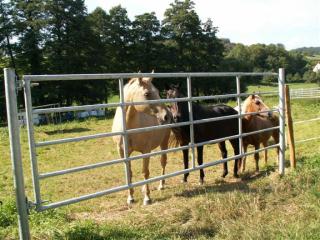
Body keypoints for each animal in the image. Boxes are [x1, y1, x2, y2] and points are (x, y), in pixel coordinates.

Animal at [112, 76, 172, 205]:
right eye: (147, 94)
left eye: (158, 91)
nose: (167, 116)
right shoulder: (123, 153)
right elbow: (128, 173)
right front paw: (130, 197)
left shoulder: (146, 151)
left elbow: (145, 172)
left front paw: (147, 198)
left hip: (164, 143)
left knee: (163, 162)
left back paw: (161, 185)